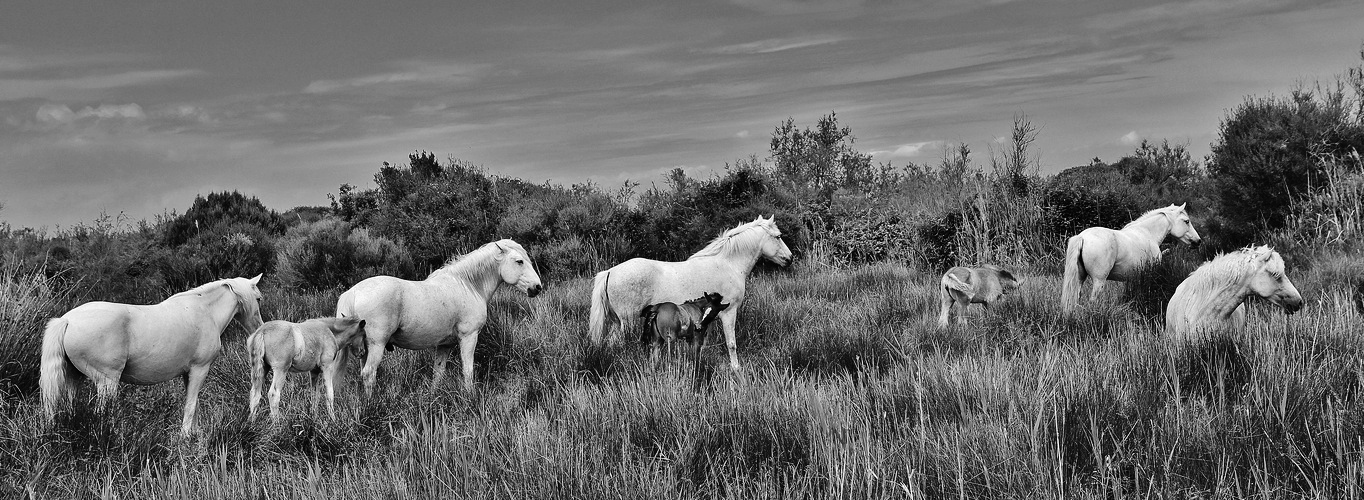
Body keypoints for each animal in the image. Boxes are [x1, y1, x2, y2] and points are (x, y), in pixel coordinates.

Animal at [38, 276, 264, 435]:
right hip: (107, 382)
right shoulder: (200, 369)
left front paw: (195, 433)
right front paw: (185, 436)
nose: (259, 329)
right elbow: (191, 405)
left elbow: (195, 403)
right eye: (259, 299)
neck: (206, 311)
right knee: (101, 413)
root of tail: (67, 320)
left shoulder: (188, 374)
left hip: (73, 379)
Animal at [332, 238, 540, 395]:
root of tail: (352, 292)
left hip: (364, 349)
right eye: (519, 261)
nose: (537, 287)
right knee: (369, 374)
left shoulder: (444, 345)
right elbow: (468, 370)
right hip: (376, 345)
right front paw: (470, 396)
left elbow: (438, 373)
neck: (468, 285)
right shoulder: (469, 337)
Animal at [583, 213, 796, 370]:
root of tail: (610, 271)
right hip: (626, 323)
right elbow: (731, 344)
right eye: (778, 236)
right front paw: (736, 369)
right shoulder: (729, 313)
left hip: (616, 322)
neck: (728, 264)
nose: (790, 258)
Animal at [1058, 202, 1200, 313]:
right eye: (1187, 221)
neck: (1147, 233)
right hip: (1099, 281)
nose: (1198, 241)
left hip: (1080, 279)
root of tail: (1082, 237)